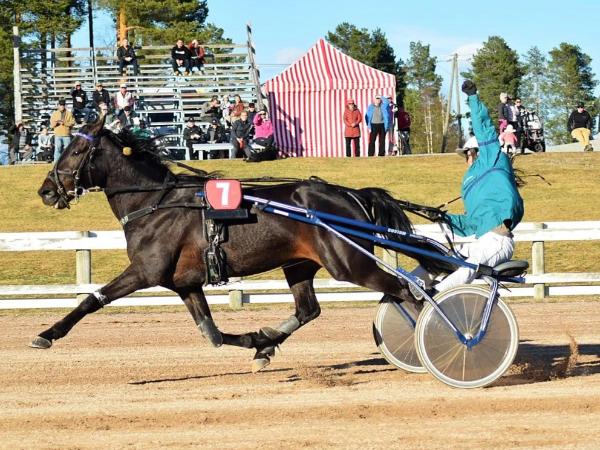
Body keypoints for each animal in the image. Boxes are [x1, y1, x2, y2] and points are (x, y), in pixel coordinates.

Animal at [34, 116, 445, 372]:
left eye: (75, 151)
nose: (46, 190)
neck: (155, 203)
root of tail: (350, 194)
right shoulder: (185, 283)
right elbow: (212, 334)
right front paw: (257, 341)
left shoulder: (145, 272)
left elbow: (92, 299)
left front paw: (46, 335)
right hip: (299, 264)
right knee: (309, 310)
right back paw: (267, 345)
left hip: (349, 264)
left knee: (408, 291)